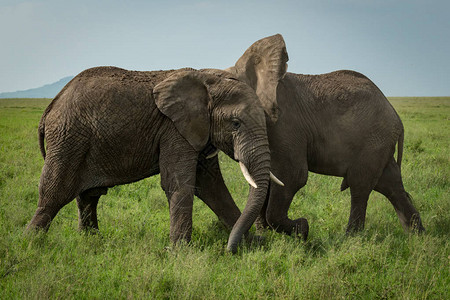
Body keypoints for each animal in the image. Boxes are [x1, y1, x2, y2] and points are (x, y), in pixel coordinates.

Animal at [25, 66, 284, 253]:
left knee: (88, 196)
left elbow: (212, 187)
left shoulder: (198, 130)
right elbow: (178, 184)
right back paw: (30, 245)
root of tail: (51, 106)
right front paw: (181, 253)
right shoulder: (174, 129)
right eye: (236, 123)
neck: (206, 79)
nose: (228, 250)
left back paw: (91, 241)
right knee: (54, 194)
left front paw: (251, 243)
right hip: (68, 139)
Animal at [221, 34, 426, 238]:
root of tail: (396, 116)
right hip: (380, 144)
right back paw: (417, 236)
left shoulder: (286, 126)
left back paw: (350, 238)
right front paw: (267, 234)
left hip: (374, 141)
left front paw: (302, 229)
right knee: (390, 185)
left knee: (360, 185)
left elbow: (292, 176)